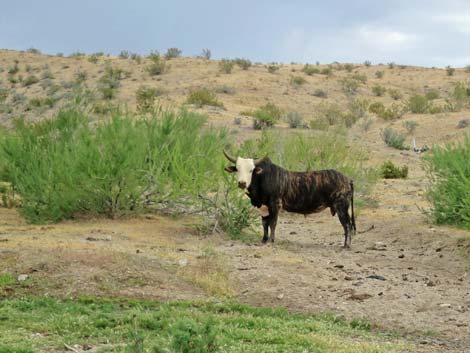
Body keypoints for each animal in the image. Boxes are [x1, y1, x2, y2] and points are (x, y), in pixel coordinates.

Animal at [224, 150, 356, 246]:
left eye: (251, 170)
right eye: (237, 169)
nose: (242, 183)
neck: (263, 177)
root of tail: (348, 179)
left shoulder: (275, 204)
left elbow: (272, 223)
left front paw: (271, 240)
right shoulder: (263, 207)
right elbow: (265, 224)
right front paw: (264, 240)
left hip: (341, 207)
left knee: (347, 225)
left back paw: (346, 245)